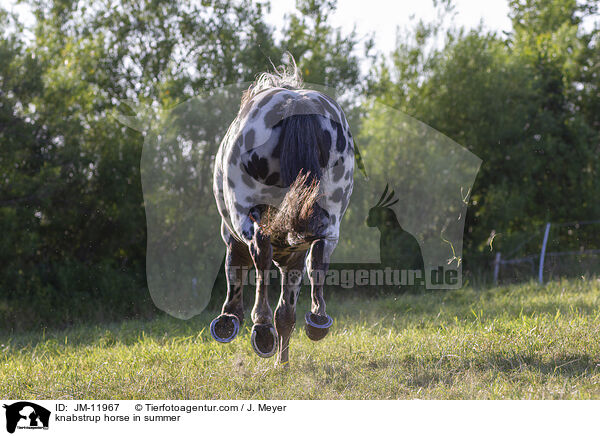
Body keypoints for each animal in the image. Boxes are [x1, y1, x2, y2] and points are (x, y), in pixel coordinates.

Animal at [210, 64, 354, 364]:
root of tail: (297, 104)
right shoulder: (294, 259)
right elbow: (286, 314)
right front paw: (283, 364)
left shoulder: (233, 240)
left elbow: (236, 273)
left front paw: (230, 319)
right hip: (329, 218)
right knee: (320, 253)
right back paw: (318, 319)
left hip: (245, 218)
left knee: (261, 249)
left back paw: (261, 328)